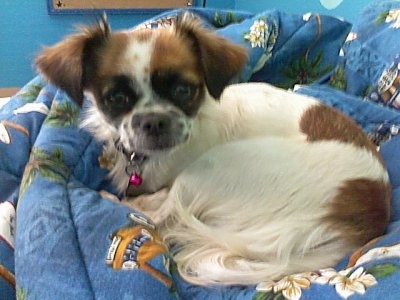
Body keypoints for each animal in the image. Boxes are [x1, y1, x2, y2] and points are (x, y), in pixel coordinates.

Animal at [35, 14, 390, 286]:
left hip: (214, 166)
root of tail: (360, 220)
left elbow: (156, 212)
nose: (154, 121)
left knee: (159, 218)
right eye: (117, 98)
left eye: (183, 90)